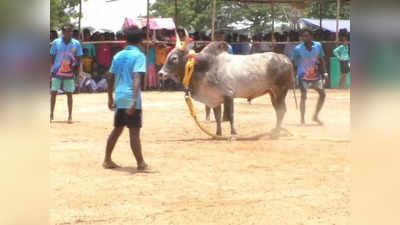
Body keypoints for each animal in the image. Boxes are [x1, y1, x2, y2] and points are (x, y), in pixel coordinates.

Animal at [159, 34, 294, 138]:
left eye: (174, 58)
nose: (161, 73)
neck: (206, 66)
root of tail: (285, 58)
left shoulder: (229, 95)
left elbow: (230, 116)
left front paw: (233, 133)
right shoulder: (215, 98)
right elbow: (218, 117)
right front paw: (218, 134)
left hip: (281, 91)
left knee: (281, 110)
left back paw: (276, 134)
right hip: (272, 93)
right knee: (278, 110)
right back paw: (276, 131)